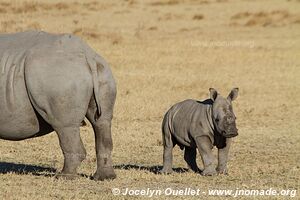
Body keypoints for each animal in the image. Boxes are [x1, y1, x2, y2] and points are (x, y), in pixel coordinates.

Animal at [0, 31, 116, 181]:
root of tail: (87, 55)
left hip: (58, 75)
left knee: (64, 126)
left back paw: (64, 177)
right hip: (102, 70)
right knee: (102, 122)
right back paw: (104, 177)